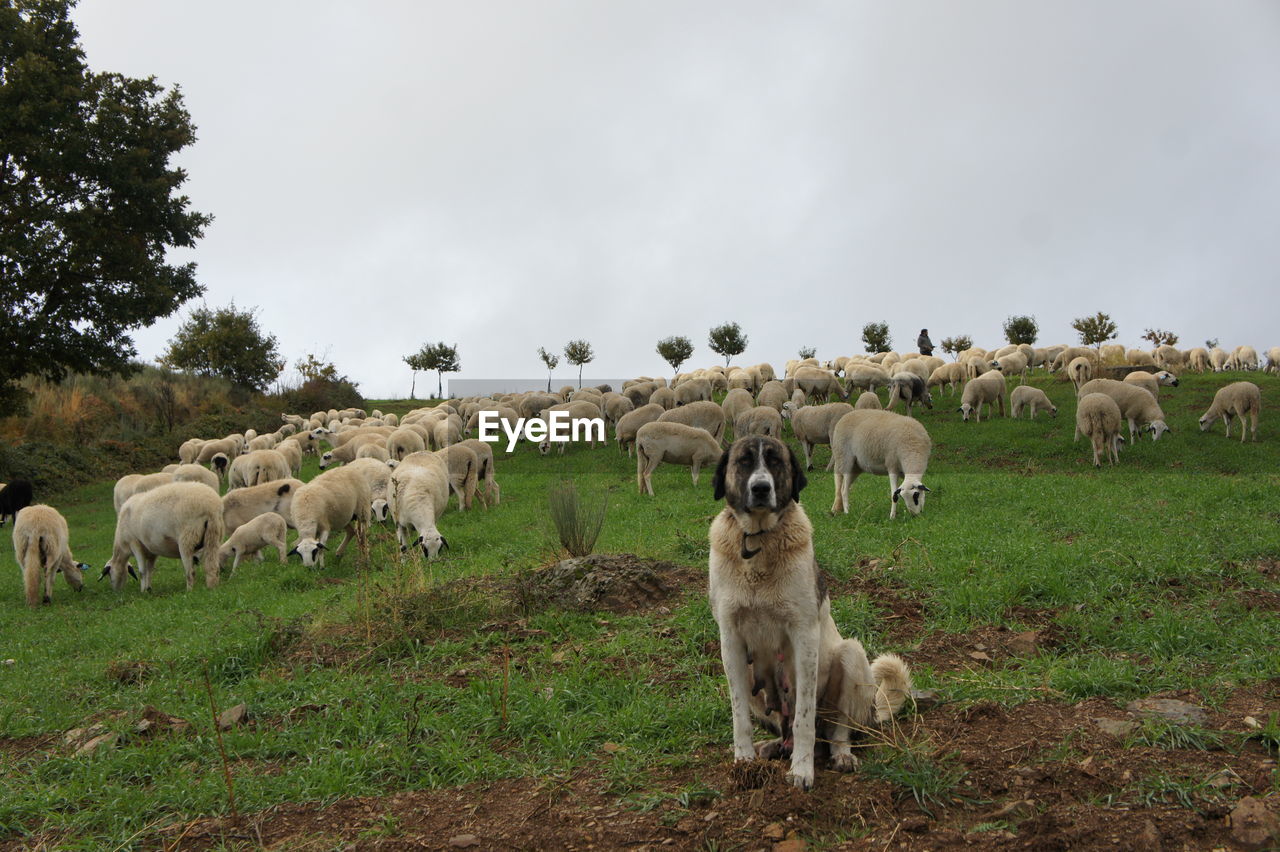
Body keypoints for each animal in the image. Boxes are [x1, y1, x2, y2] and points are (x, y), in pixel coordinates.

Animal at [711, 434, 911, 788]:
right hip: (750, 673)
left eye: (775, 461)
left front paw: (802, 771)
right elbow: (738, 715)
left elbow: (804, 717)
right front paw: (743, 761)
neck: (758, 544)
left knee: (835, 732)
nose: (760, 488)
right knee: (788, 730)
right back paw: (772, 747)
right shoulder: (730, 639)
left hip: (851, 656)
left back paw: (840, 755)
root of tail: (873, 713)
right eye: (744, 462)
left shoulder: (803, 636)